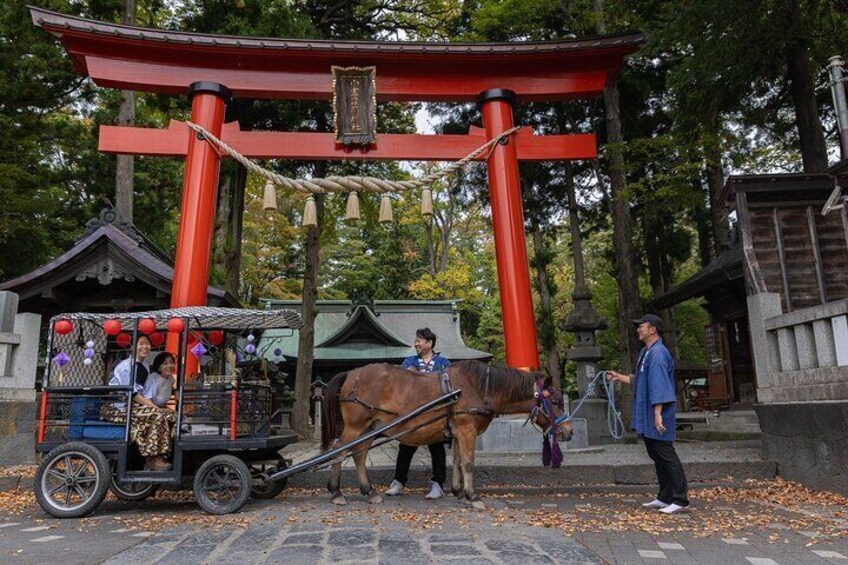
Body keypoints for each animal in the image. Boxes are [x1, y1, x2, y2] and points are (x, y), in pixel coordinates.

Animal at [322, 360, 572, 508]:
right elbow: (469, 463)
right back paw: (336, 492)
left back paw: (369, 490)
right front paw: (473, 496)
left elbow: (459, 462)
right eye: (556, 402)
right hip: (355, 427)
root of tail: (352, 373)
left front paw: (459, 492)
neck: (480, 388)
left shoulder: (460, 431)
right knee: (338, 452)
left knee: (359, 456)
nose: (568, 431)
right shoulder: (467, 428)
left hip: (370, 428)